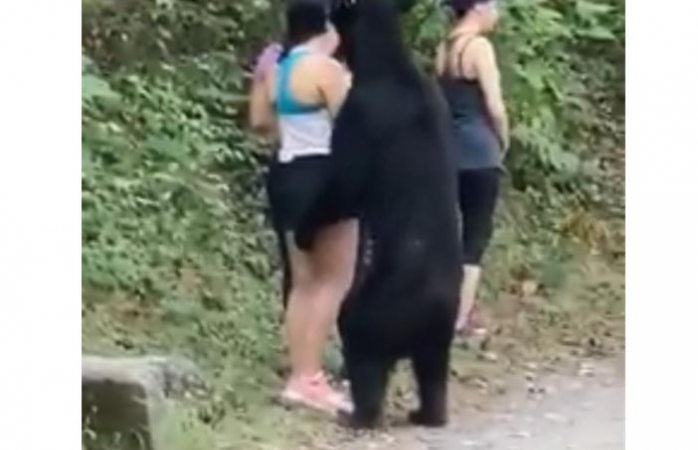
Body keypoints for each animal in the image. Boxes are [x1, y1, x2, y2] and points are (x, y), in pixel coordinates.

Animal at [296, 0, 463, 429]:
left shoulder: (360, 112)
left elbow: (344, 185)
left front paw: (306, 227)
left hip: (379, 307)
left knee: (361, 345)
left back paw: (358, 414)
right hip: (440, 332)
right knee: (432, 371)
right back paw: (428, 412)